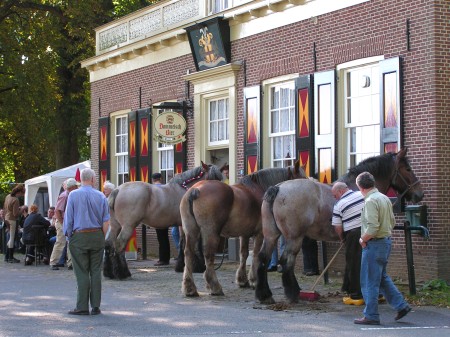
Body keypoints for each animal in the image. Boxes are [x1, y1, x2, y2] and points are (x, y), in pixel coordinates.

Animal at [179, 161, 306, 296]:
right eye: (302, 179)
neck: (260, 189)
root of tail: (195, 189)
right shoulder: (260, 233)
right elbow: (255, 254)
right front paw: (254, 280)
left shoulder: (244, 233)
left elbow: (243, 254)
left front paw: (242, 280)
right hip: (211, 233)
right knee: (208, 254)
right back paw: (214, 287)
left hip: (191, 231)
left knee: (188, 253)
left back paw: (189, 288)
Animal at [256, 147, 426, 302]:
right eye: (408, 169)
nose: (420, 194)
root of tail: (277, 188)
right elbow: (357, 261)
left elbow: (348, 260)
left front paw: (347, 287)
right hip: (294, 238)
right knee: (286, 261)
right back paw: (293, 293)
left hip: (271, 235)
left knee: (263, 258)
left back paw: (265, 295)